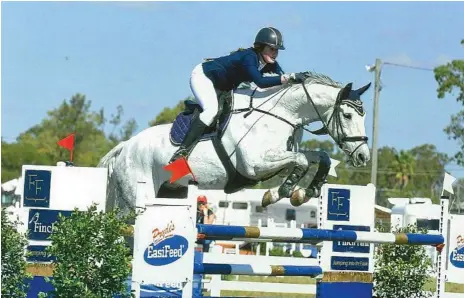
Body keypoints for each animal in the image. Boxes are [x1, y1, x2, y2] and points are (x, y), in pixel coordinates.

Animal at [97, 71, 370, 213]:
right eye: (347, 115)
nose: (363, 156)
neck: (282, 113)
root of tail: (125, 147)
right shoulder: (255, 165)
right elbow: (301, 160)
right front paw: (278, 194)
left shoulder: (280, 157)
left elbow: (318, 157)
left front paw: (305, 192)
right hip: (136, 199)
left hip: (170, 193)